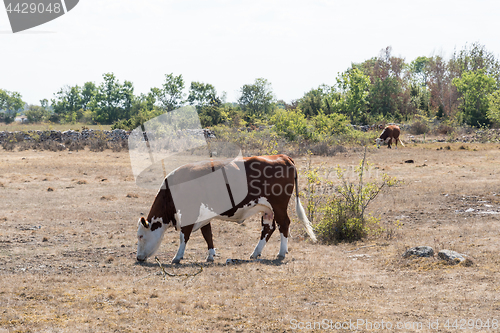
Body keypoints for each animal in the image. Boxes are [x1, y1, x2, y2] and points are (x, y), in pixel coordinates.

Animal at [137, 154, 316, 264]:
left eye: (140, 236)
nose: (138, 258)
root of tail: (282, 156)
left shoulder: (190, 212)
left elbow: (184, 236)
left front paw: (177, 257)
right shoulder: (203, 215)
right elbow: (207, 234)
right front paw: (210, 255)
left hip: (279, 206)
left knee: (284, 224)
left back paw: (281, 252)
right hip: (267, 209)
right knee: (268, 228)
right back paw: (255, 253)